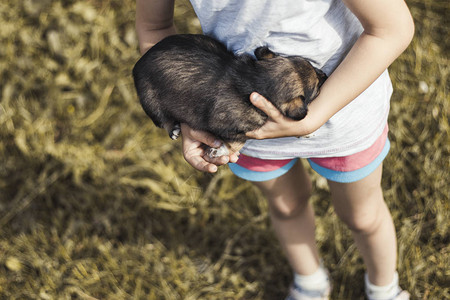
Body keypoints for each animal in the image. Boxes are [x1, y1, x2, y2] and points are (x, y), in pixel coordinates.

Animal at [132, 33, 326, 157]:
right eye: (316, 88)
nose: (324, 74)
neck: (254, 79)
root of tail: (137, 64)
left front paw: (306, 133)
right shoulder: (226, 126)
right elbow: (238, 142)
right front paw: (219, 151)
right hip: (150, 101)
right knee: (161, 120)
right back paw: (173, 129)